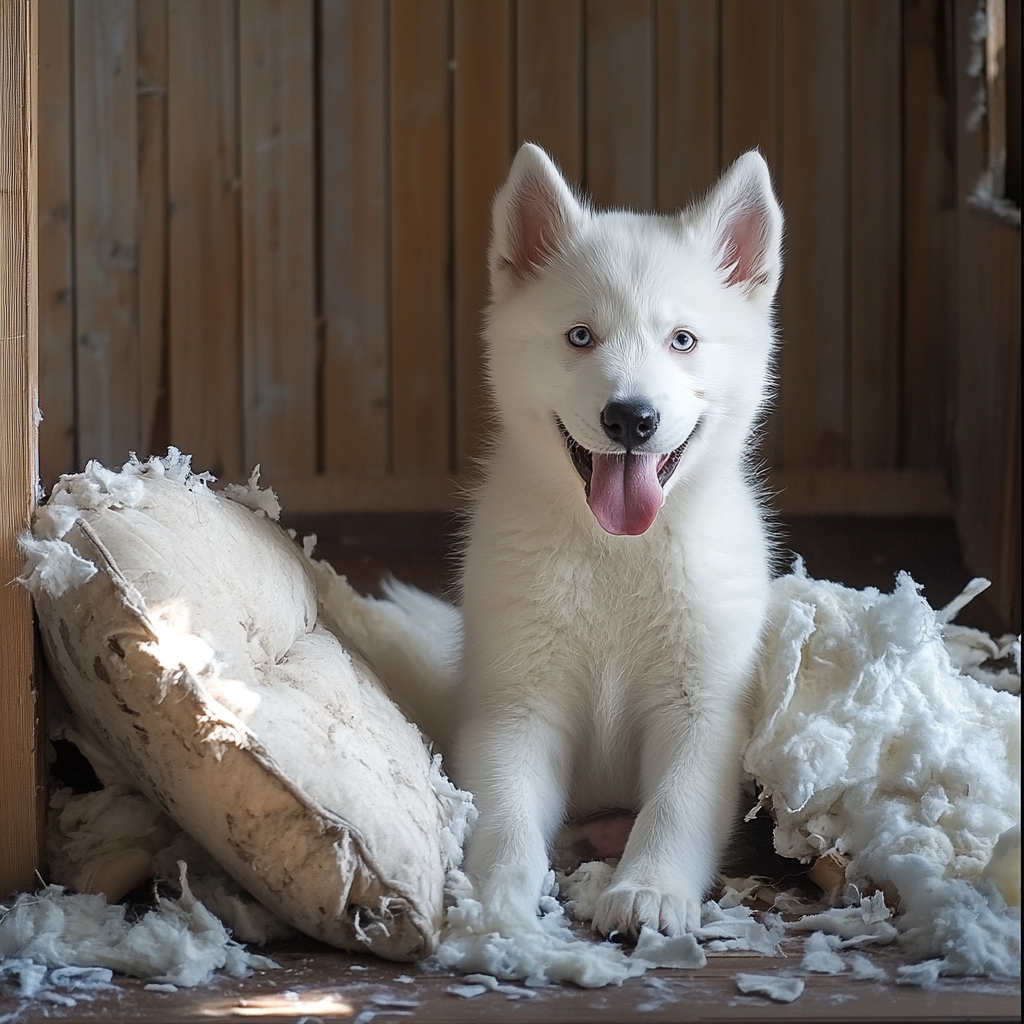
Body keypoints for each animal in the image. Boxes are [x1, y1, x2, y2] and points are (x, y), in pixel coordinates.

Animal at [335, 144, 782, 942]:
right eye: (580, 337)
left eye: (683, 340)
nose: (631, 419)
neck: (616, 551)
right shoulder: (516, 708)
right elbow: (508, 815)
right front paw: (500, 896)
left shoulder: (702, 709)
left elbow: (675, 806)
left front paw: (649, 889)